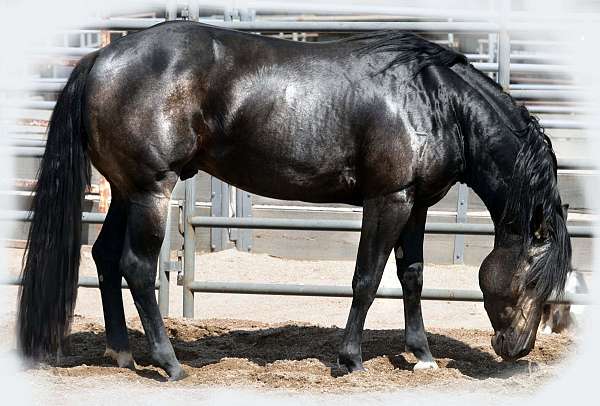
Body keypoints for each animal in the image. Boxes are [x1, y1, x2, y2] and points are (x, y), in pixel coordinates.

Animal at [19, 20, 572, 380]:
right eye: (535, 282)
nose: (516, 350)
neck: (434, 101)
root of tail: (99, 58)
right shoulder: (387, 201)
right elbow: (367, 279)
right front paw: (349, 360)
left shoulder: (416, 205)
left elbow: (412, 277)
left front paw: (422, 354)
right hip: (152, 190)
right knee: (136, 266)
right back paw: (169, 363)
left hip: (126, 191)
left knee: (103, 257)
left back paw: (122, 355)